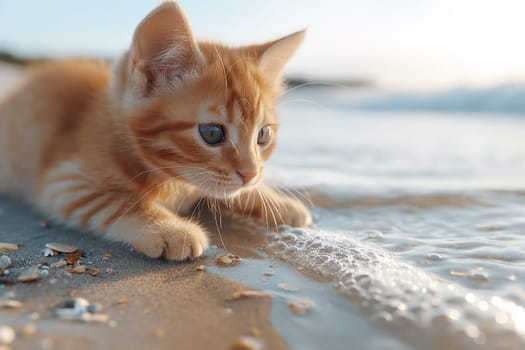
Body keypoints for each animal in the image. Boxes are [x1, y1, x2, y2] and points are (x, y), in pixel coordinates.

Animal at [0, 0, 312, 260]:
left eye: (263, 135)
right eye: (212, 133)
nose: (249, 174)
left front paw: (278, 202)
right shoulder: (66, 180)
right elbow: (123, 200)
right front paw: (170, 229)